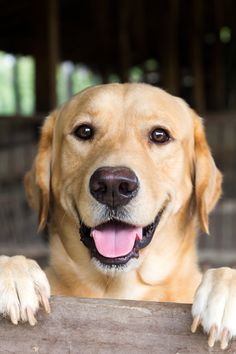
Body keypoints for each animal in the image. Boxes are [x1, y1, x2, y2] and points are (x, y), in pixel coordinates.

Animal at [0, 84, 236, 350]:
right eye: (84, 131)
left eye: (159, 135)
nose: (113, 185)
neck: (118, 289)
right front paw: (16, 274)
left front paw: (224, 292)